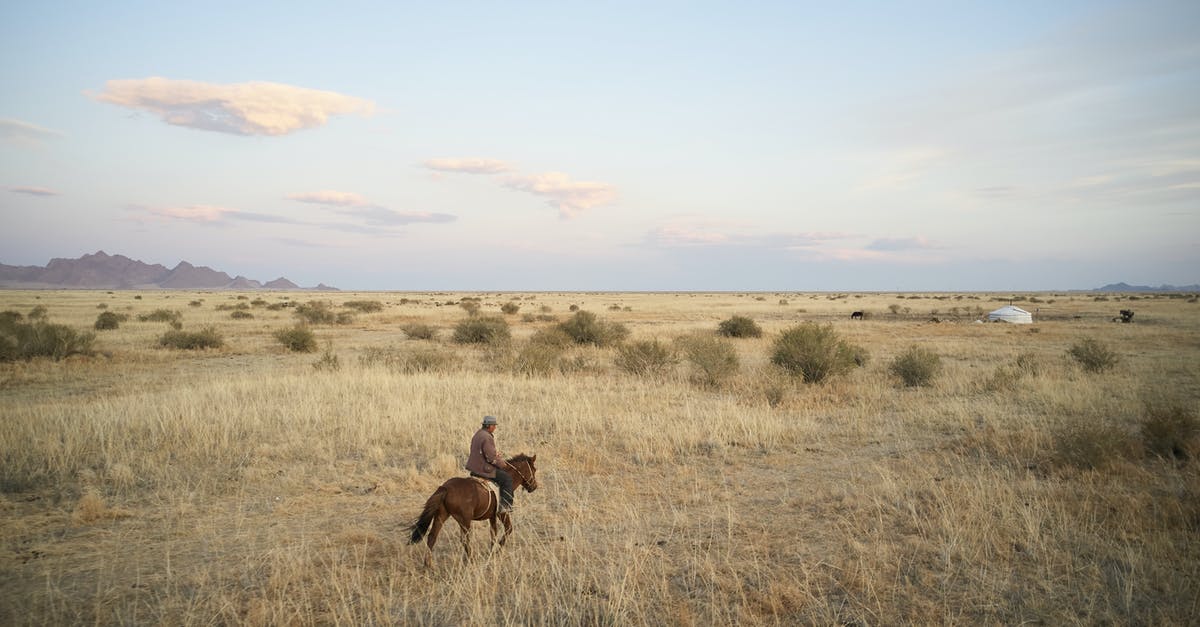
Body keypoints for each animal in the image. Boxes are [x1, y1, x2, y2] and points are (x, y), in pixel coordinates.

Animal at [408, 451, 540, 559]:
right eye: (534, 470)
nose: (534, 487)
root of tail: (445, 488)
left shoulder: (492, 516)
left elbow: (493, 534)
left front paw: (491, 552)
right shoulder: (502, 513)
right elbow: (508, 529)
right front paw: (498, 550)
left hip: (442, 515)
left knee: (432, 537)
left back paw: (428, 565)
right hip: (464, 520)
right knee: (465, 540)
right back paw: (470, 560)